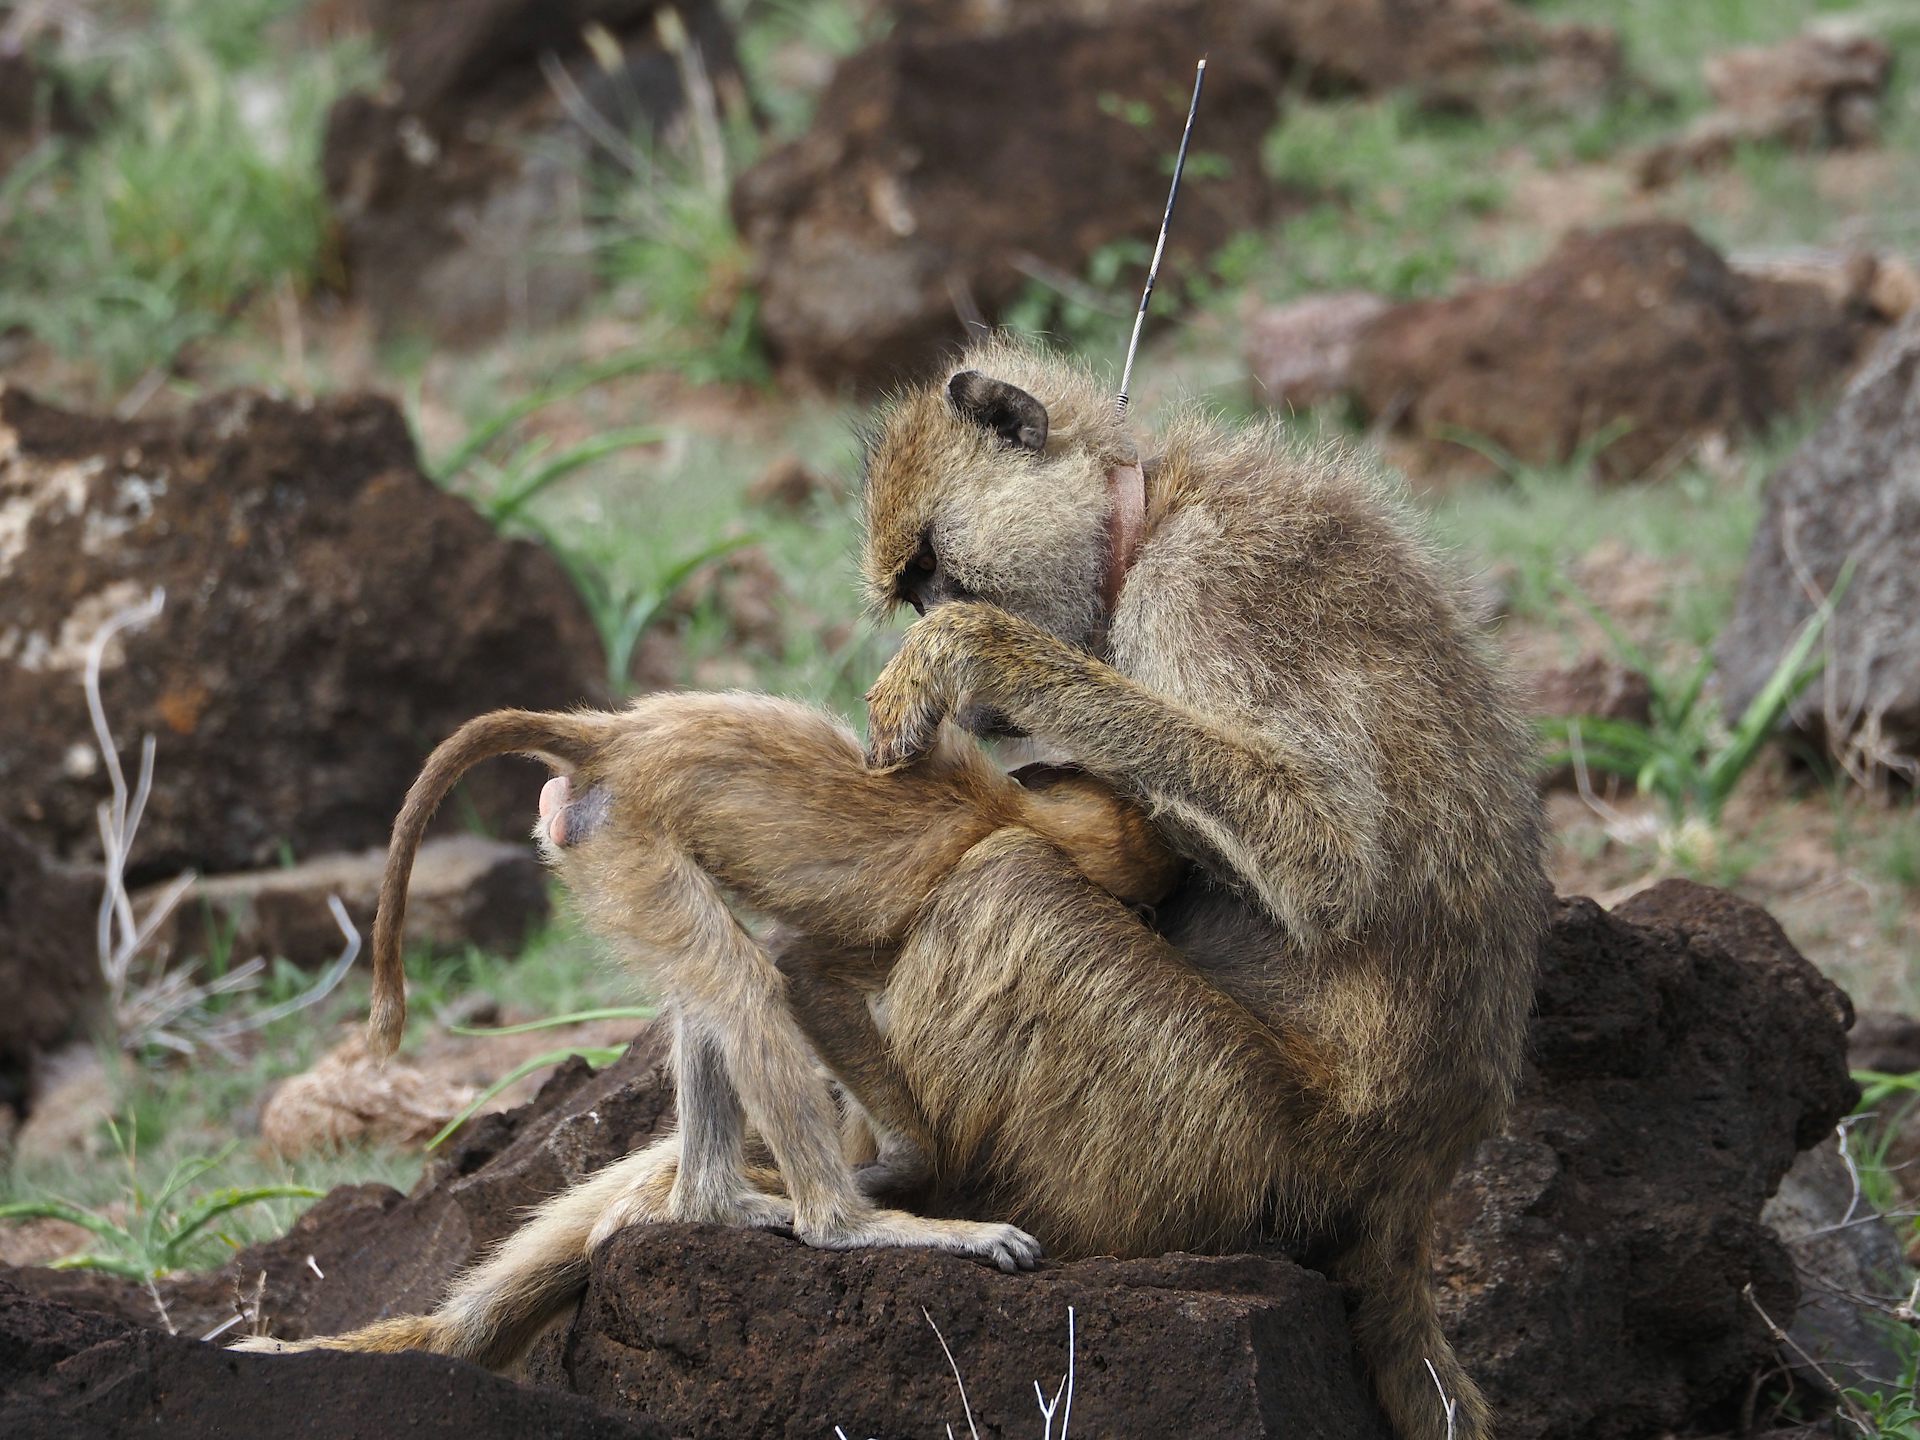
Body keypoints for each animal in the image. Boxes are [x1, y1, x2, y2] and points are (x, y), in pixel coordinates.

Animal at [242, 334, 1544, 1440]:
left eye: (931, 577)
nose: (932, 624)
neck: (1146, 520)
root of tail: (1410, 1178)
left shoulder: (1211, 584)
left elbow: (1329, 860)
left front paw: (972, 660)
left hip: (1219, 1151)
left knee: (997, 893)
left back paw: (871, 1198)